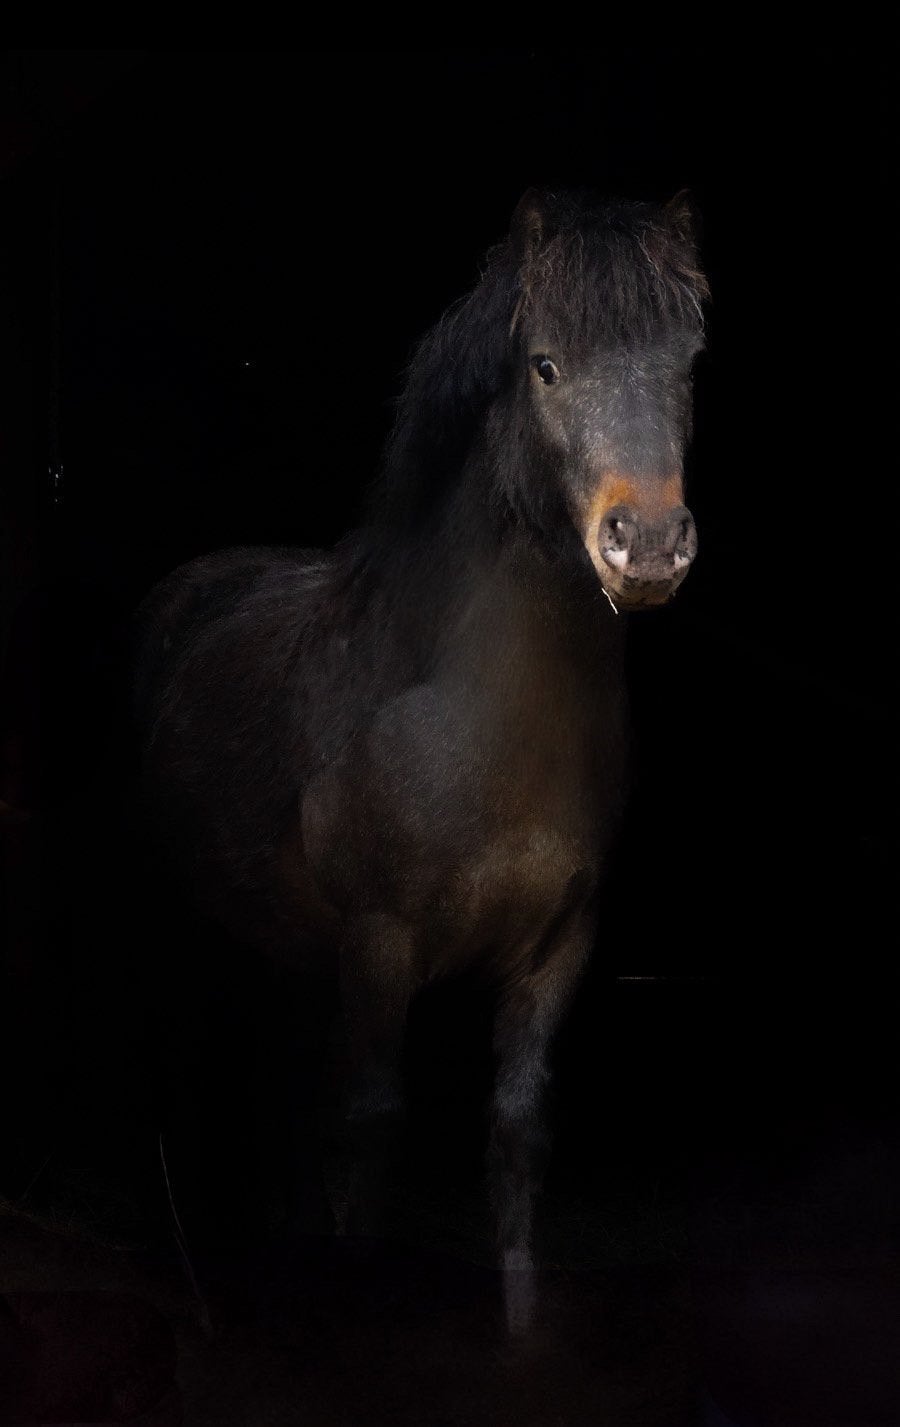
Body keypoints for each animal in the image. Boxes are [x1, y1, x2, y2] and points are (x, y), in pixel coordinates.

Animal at [133, 188, 708, 1332]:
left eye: (688, 359)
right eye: (545, 364)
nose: (649, 543)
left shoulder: (557, 951)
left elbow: (516, 1137)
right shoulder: (379, 945)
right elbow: (368, 1133)